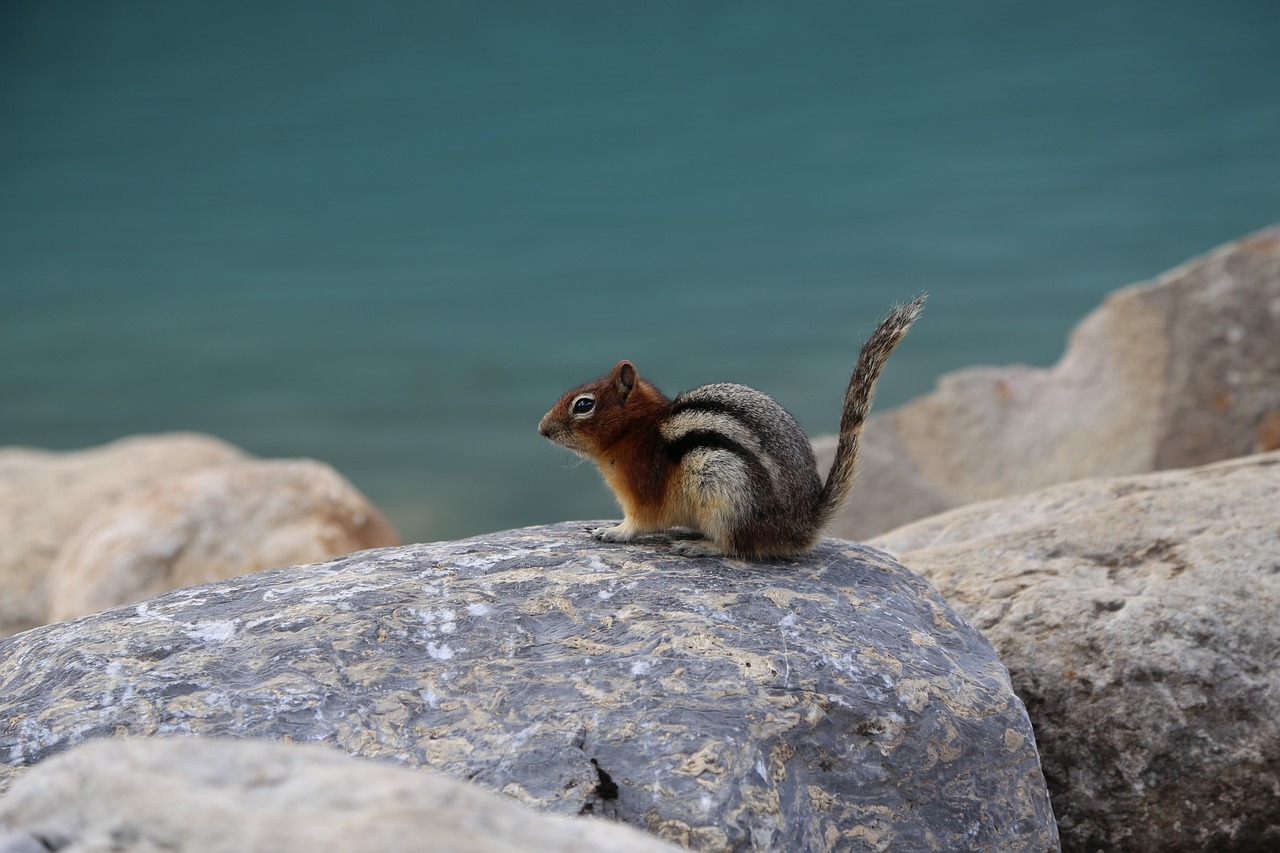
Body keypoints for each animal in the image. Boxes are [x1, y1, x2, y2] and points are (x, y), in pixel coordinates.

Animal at [535, 295, 926, 560]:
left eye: (583, 405)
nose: (541, 429)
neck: (640, 430)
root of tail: (804, 525)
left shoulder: (643, 490)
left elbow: (640, 523)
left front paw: (611, 531)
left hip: (726, 492)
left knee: (738, 547)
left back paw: (700, 546)